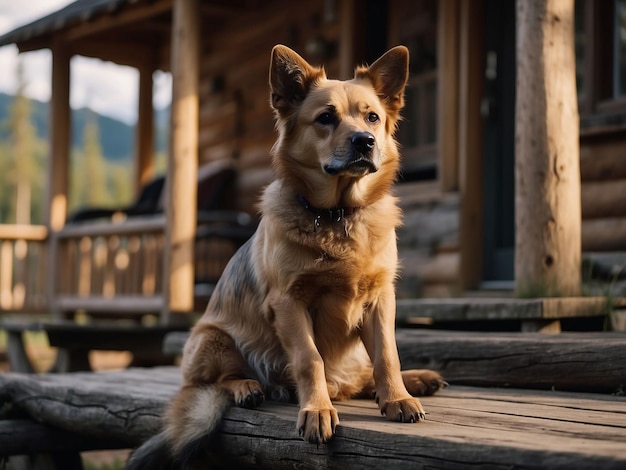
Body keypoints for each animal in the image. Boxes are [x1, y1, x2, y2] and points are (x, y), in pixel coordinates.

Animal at [125, 45, 444, 470]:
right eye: (325, 118)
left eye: (372, 117)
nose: (365, 141)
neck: (337, 215)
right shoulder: (289, 303)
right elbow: (310, 360)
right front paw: (317, 409)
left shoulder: (380, 300)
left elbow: (387, 356)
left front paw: (396, 397)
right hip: (210, 337)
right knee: (216, 381)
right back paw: (249, 386)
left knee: (361, 377)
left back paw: (416, 379)